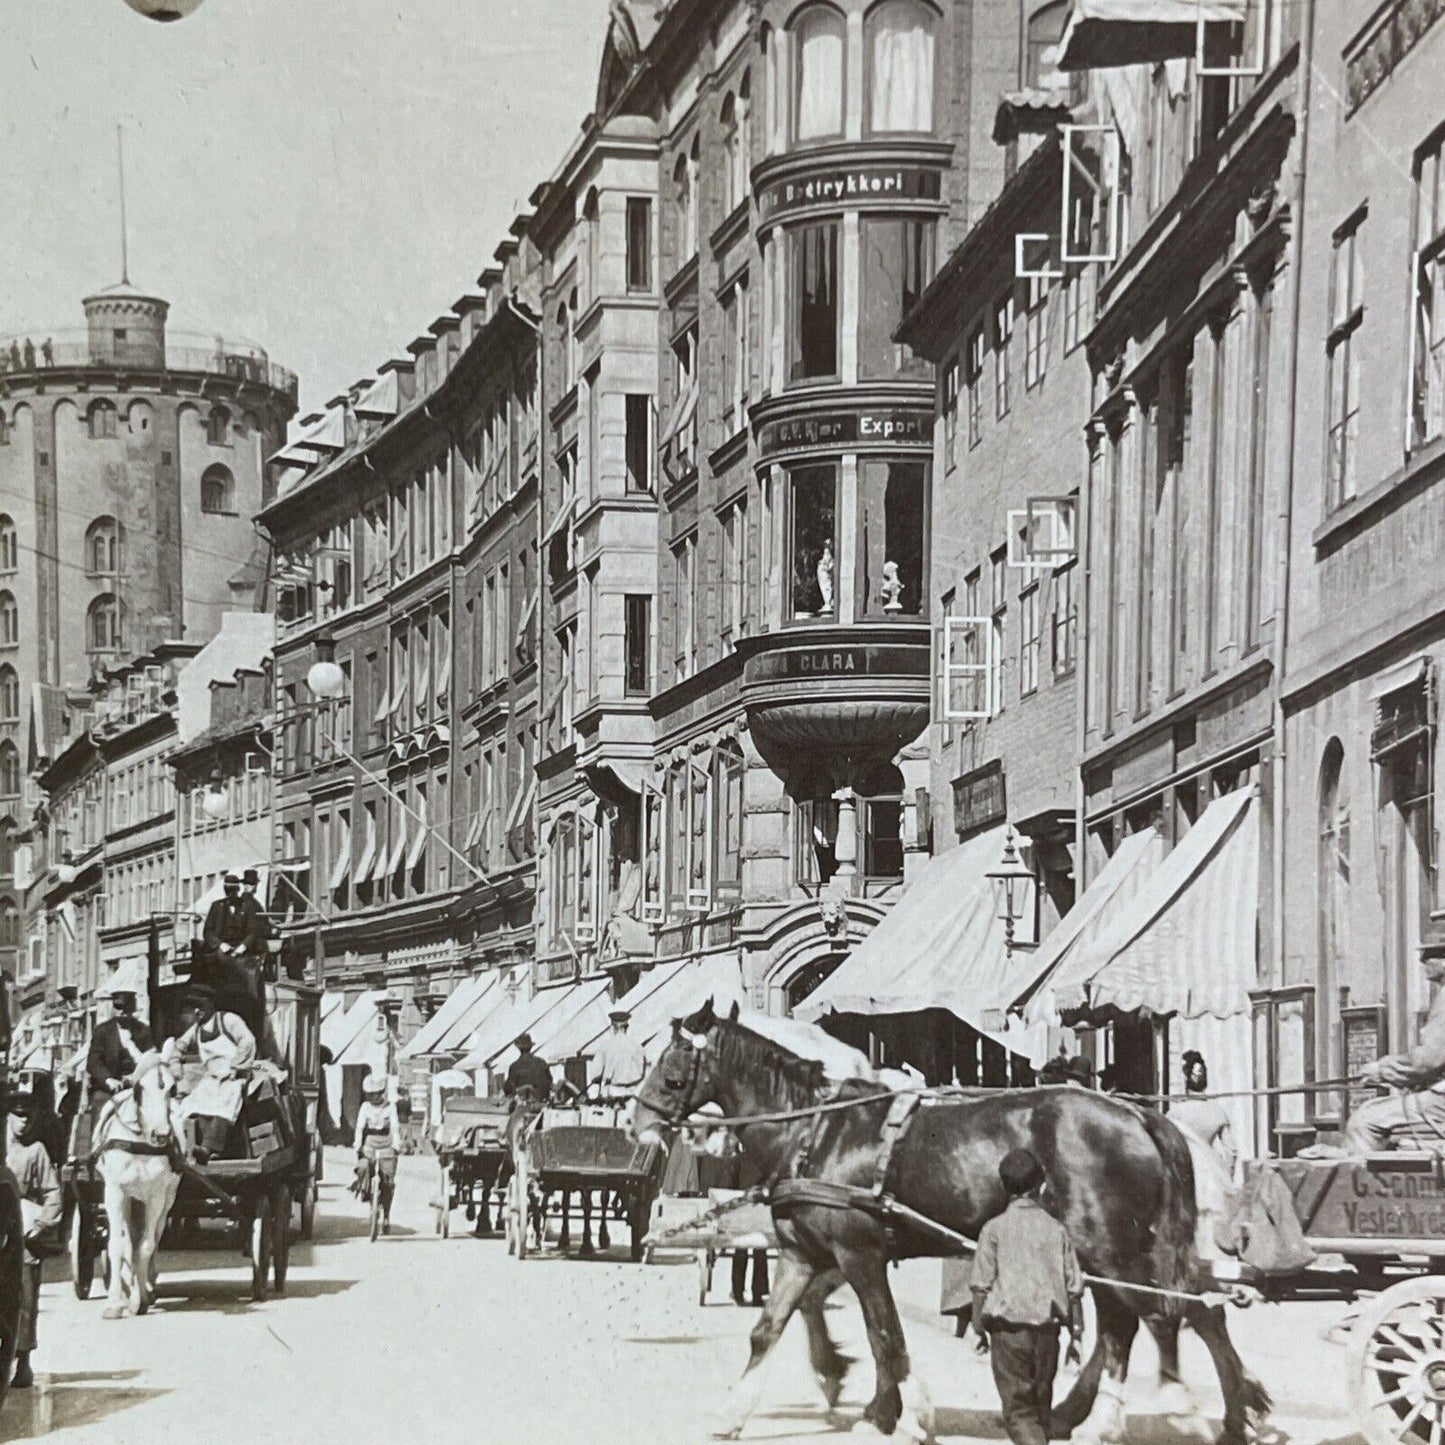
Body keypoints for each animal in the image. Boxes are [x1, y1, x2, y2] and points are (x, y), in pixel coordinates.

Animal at [91, 1051, 183, 1323]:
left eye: (172, 1089)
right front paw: (114, 1303)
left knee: (153, 1239)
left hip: (165, 1200)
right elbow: (117, 1246)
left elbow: (146, 1246)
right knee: (126, 1240)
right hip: (129, 1201)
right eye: (139, 1088)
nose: (161, 1135)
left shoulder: (156, 1198)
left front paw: (138, 1298)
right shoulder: (115, 1193)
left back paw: (146, 1287)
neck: (138, 1142)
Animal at [632, 1005, 1265, 1445]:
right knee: (1139, 1320)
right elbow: (768, 1330)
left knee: (1156, 1316)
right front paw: (735, 1411)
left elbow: (886, 1335)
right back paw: (1112, 1417)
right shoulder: (802, 1253)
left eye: (672, 1068)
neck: (816, 1131)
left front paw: (902, 1413)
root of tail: (1137, 1113)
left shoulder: (859, 1253)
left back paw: (1172, 1407)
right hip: (1107, 1250)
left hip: (1111, 1246)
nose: (636, 1122)